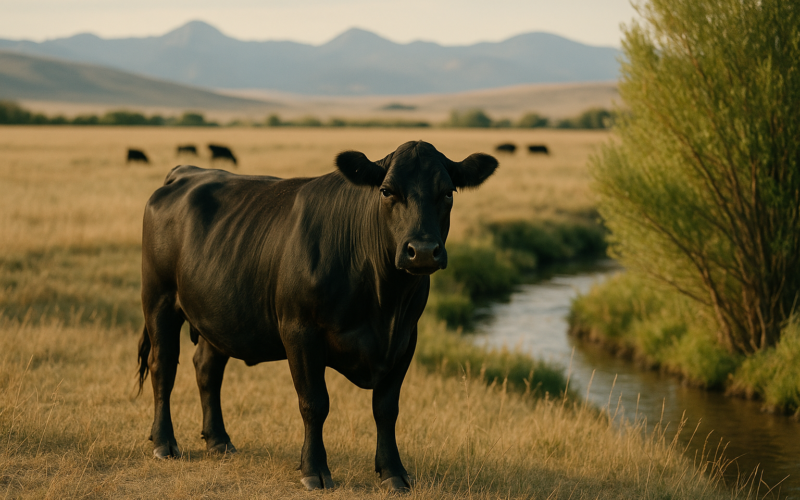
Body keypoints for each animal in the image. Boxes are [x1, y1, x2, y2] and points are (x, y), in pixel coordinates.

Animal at [137, 141, 497, 492]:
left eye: (448, 192)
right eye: (386, 191)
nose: (422, 251)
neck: (384, 302)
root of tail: (186, 171)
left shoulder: (406, 338)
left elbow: (386, 408)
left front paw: (393, 472)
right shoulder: (300, 331)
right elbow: (314, 403)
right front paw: (315, 470)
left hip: (218, 315)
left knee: (207, 369)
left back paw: (219, 441)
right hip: (158, 299)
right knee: (162, 365)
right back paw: (165, 442)